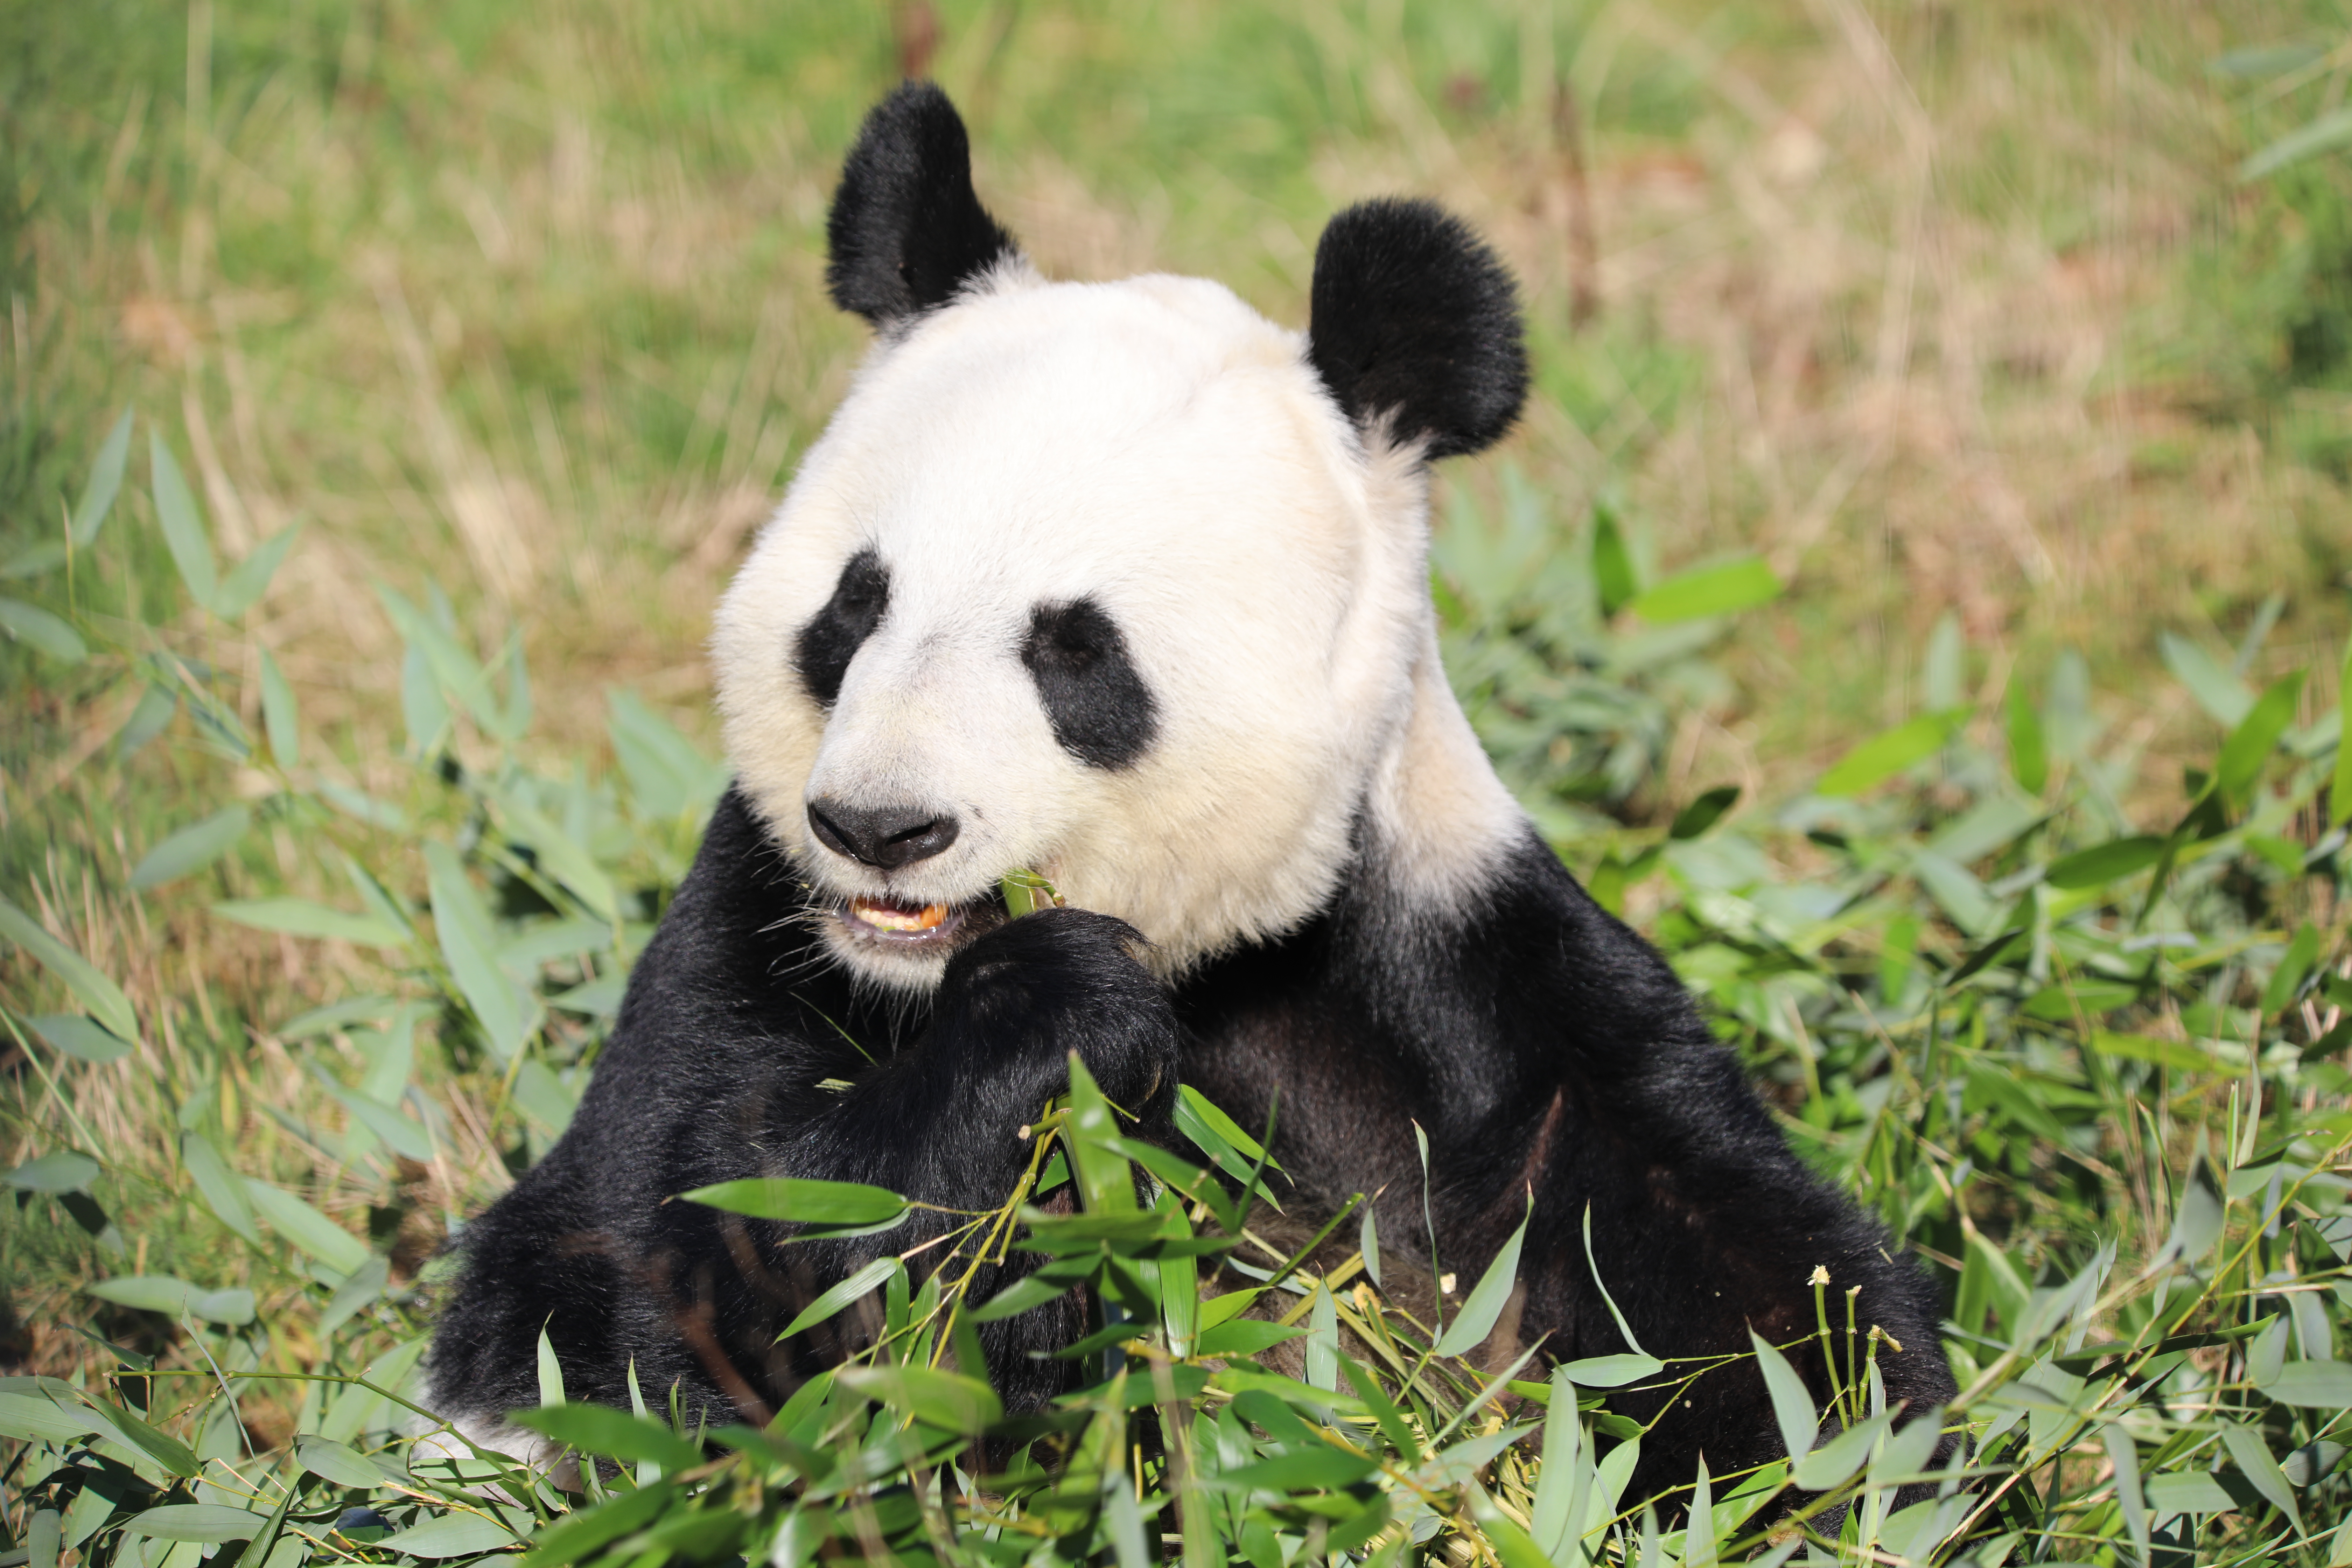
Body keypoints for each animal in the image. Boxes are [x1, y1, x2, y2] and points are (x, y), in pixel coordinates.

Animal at [419, 80, 1947, 1504]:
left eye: (1074, 650)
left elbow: (1773, 1313)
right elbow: (658, 1289)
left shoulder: (1461, 970)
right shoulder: (751, 924)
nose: (883, 831)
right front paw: (1050, 1013)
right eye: (855, 608)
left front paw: (1827, 1452)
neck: (1207, 962)